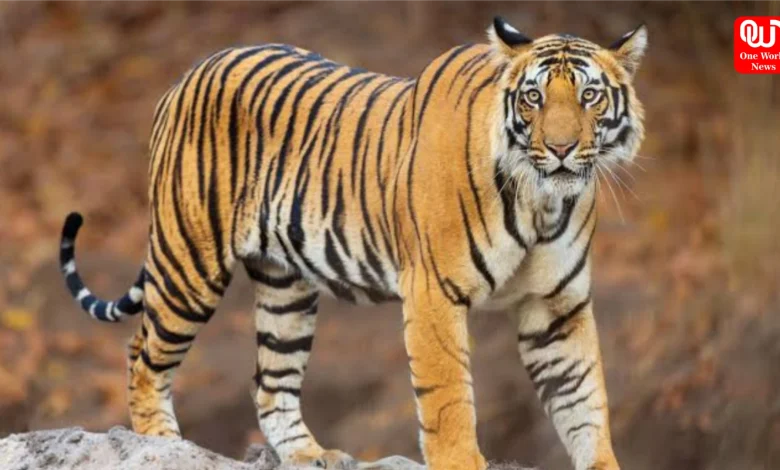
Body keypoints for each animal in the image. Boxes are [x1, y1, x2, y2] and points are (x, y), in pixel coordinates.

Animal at [59, 16, 646, 470]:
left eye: (590, 96)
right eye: (533, 98)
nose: (562, 148)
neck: (543, 202)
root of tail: (190, 71)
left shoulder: (556, 307)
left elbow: (583, 399)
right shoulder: (433, 294)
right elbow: (449, 402)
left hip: (286, 290)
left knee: (271, 382)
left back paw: (310, 455)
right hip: (189, 261)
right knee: (142, 353)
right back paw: (160, 443)